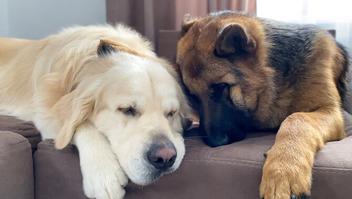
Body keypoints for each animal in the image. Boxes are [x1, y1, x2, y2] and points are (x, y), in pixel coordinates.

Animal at [0, 25, 190, 199]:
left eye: (171, 113)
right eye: (127, 109)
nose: (165, 158)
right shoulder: (46, 114)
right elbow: (81, 125)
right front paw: (104, 174)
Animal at [177, 11, 350, 199]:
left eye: (221, 86)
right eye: (192, 96)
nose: (214, 143)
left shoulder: (332, 112)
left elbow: (297, 118)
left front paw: (283, 170)